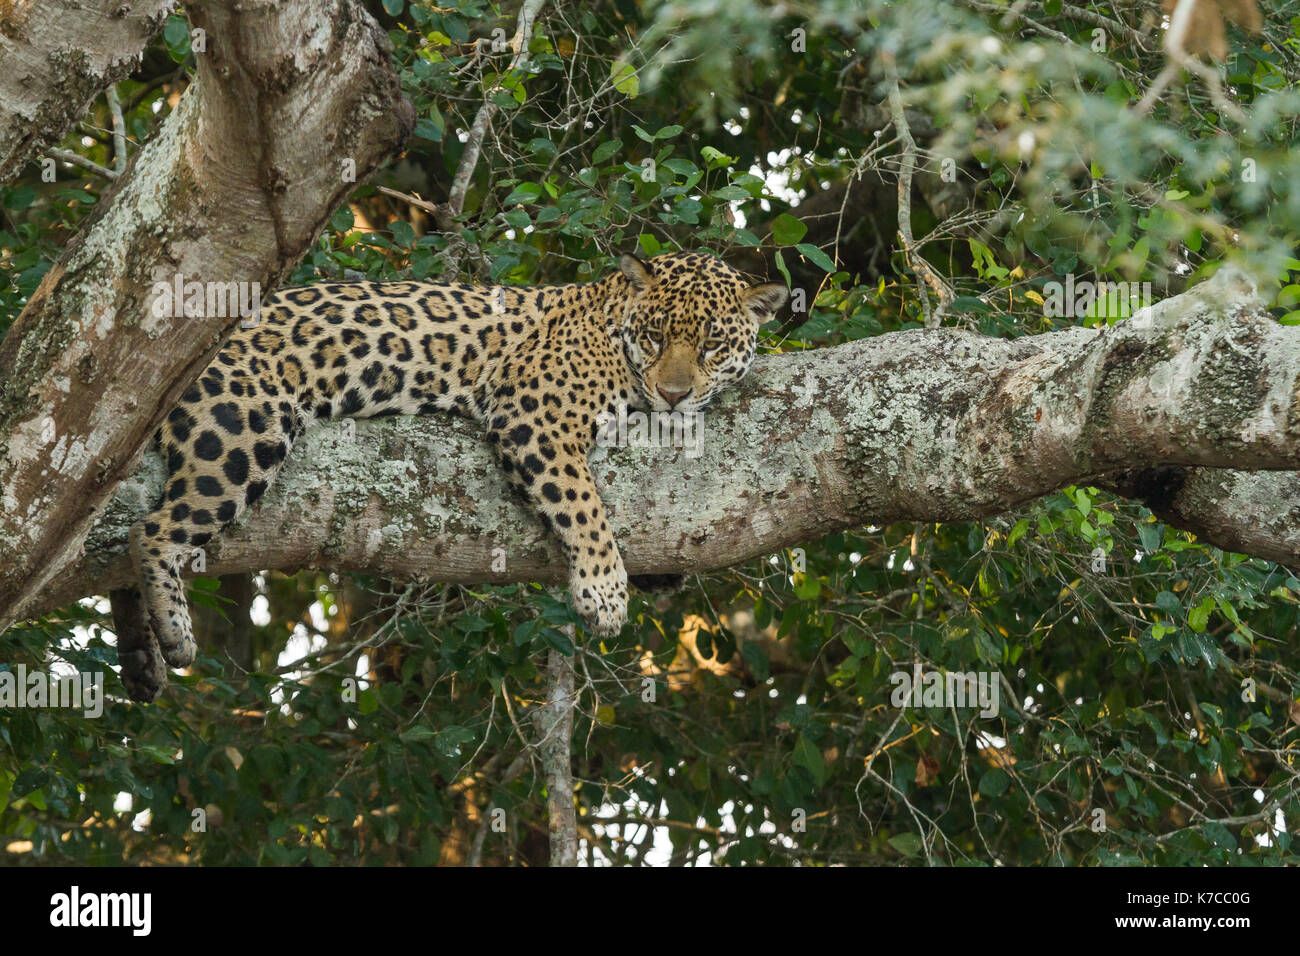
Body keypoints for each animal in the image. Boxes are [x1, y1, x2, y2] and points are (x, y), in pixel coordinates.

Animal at [110, 250, 787, 702]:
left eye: (712, 345)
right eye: (654, 336)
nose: (674, 395)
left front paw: (656, 577)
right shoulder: (535, 413)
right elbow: (583, 504)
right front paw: (603, 589)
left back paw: (142, 658)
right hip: (243, 426)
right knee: (149, 530)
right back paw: (173, 632)